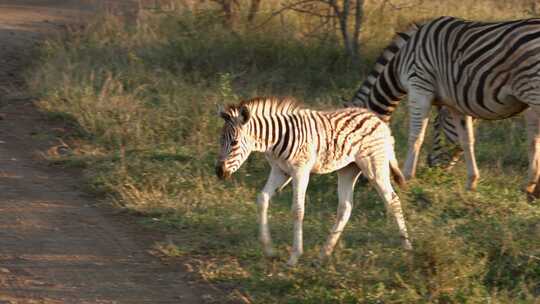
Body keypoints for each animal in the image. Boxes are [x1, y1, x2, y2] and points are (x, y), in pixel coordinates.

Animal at [215, 97, 410, 266]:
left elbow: (298, 210)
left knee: (392, 200)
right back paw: (324, 254)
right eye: (220, 140)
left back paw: (407, 247)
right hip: (348, 169)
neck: (277, 139)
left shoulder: (300, 172)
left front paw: (294, 257)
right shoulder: (280, 171)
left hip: (374, 165)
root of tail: (379, 121)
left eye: (234, 142)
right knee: (345, 207)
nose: (219, 172)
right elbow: (262, 199)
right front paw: (269, 249)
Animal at [348, 16, 540, 198]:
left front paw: (406, 178)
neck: (399, 62)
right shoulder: (456, 105)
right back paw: (530, 188)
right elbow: (466, 140)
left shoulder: (419, 87)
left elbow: (416, 137)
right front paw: (472, 182)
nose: (360, 185)